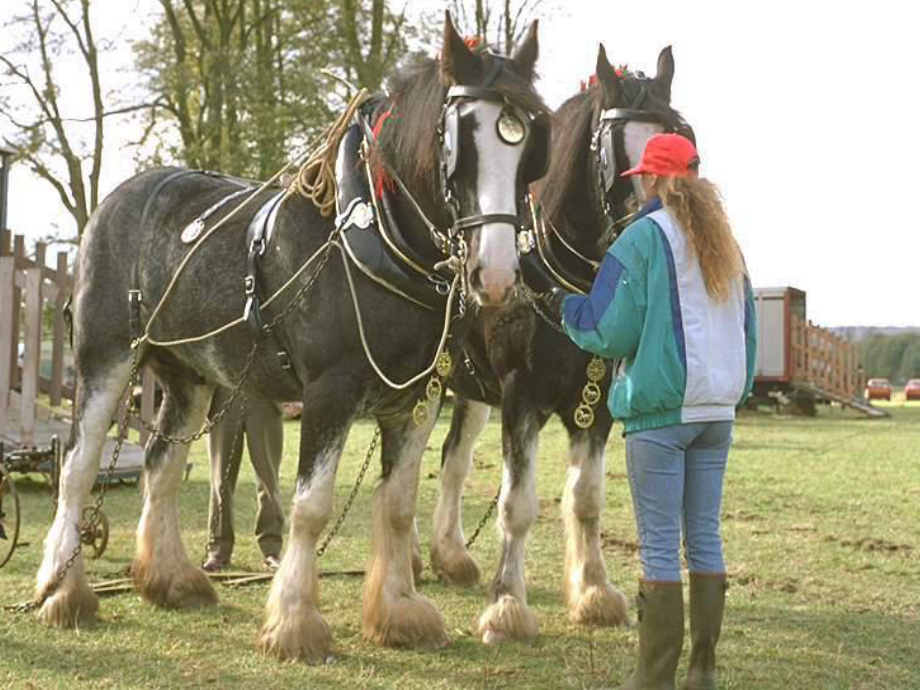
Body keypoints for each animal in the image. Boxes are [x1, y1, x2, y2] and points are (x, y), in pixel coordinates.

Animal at [36, 14, 548, 660]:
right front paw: (296, 622)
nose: (498, 273)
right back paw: (62, 590)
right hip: (105, 359)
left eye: (528, 146)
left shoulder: (416, 400)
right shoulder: (331, 392)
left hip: (189, 378)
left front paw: (399, 612)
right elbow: (311, 507)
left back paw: (170, 580)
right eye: (460, 140)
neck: (380, 238)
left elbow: (398, 507)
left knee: (161, 465)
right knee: (78, 469)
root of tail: (115, 201)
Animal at [428, 45, 692, 644]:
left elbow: (587, 499)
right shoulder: (520, 396)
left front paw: (594, 591)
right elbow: (517, 504)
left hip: (471, 392)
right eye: (617, 153)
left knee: (454, 460)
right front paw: (506, 605)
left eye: (680, 138)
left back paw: (448, 554)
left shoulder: (596, 406)